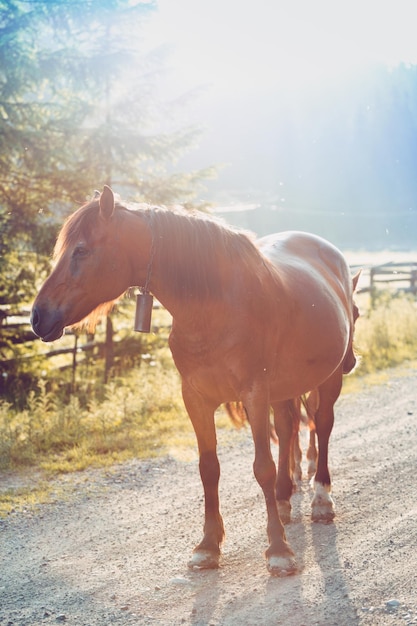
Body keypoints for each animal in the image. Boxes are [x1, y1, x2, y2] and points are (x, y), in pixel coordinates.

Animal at [31, 185, 358, 576]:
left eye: (80, 250)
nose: (37, 316)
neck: (215, 307)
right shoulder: (196, 399)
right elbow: (208, 468)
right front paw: (208, 546)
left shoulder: (255, 394)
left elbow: (262, 467)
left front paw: (278, 549)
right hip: (285, 389)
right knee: (288, 428)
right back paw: (283, 502)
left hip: (329, 378)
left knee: (321, 427)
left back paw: (321, 499)